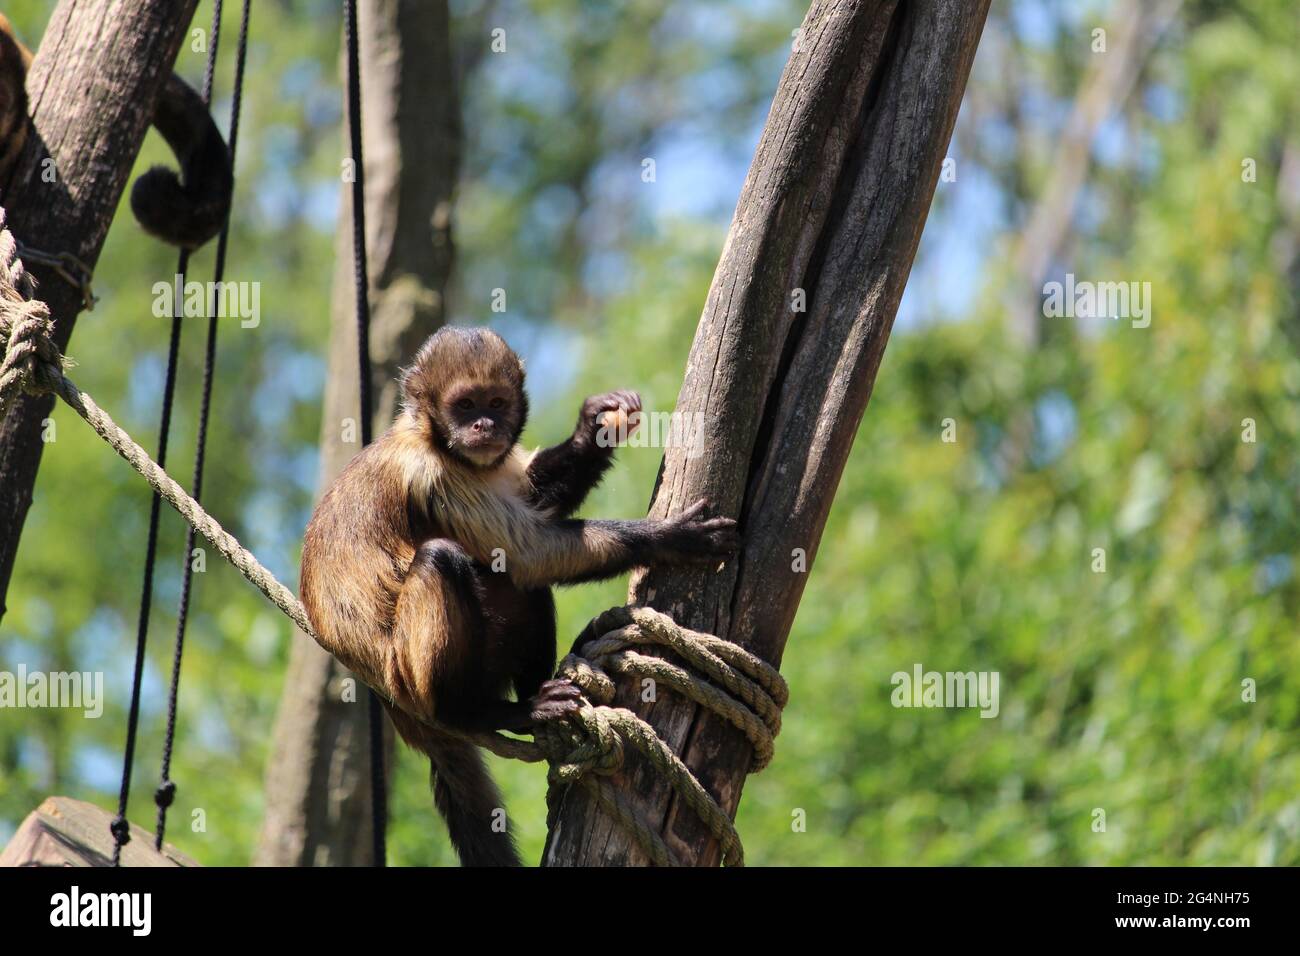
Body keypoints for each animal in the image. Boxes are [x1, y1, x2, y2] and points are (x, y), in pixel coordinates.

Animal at [297, 329, 738, 868]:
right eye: (465, 406)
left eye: (496, 403)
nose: (484, 425)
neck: (431, 438)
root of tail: (398, 709)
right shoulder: (430, 474)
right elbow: (528, 552)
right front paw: (669, 537)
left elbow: (530, 509)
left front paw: (594, 427)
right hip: (410, 677)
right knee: (446, 558)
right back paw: (483, 713)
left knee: (517, 583)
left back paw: (537, 699)